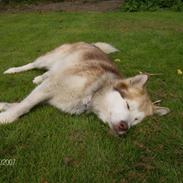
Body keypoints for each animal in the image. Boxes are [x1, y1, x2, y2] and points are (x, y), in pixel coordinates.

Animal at [0, 42, 169, 135]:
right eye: (127, 105)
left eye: (136, 120)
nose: (124, 127)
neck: (93, 92)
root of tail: (91, 44)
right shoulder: (51, 86)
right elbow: (24, 105)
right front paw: (6, 117)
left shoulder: (51, 92)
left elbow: (22, 103)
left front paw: (5, 107)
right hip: (48, 59)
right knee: (33, 64)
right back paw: (13, 70)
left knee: (50, 72)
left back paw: (40, 77)